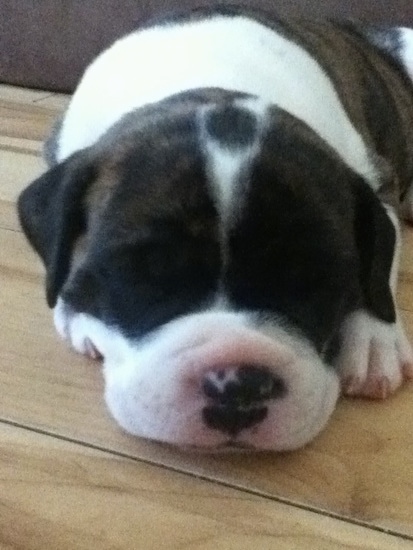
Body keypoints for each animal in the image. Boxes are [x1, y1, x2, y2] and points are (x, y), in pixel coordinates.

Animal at [17, 5, 412, 452]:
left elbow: (379, 266)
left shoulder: (376, 179)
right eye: (142, 274)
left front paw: (375, 337)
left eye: (317, 281)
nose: (239, 385)